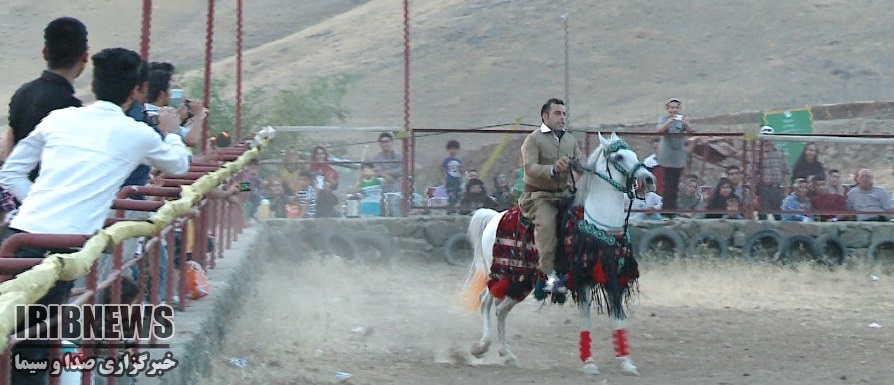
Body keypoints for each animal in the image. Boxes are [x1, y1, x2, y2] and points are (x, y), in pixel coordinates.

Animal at [462, 132, 656, 376]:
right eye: (619, 156)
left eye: (633, 154)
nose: (648, 180)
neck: (598, 223)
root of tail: (494, 217)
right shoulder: (582, 278)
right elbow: (586, 318)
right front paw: (589, 363)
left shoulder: (613, 277)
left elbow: (618, 315)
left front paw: (626, 362)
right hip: (502, 274)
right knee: (485, 301)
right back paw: (481, 346)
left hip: (522, 282)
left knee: (501, 310)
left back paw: (507, 354)